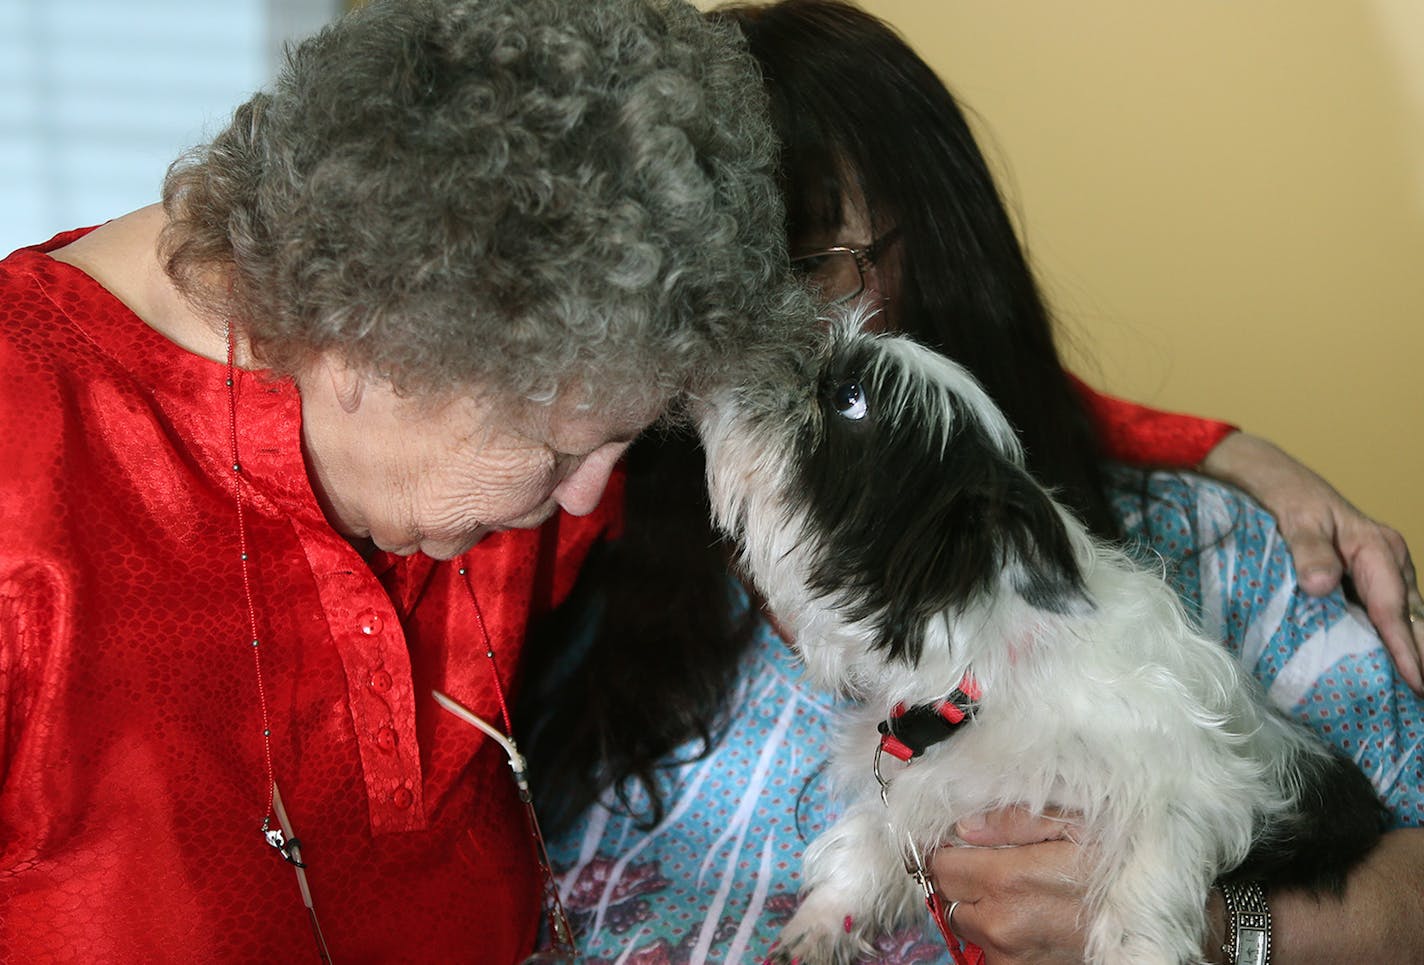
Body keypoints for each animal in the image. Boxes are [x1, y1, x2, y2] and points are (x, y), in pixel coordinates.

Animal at [694, 324, 1384, 965]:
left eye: (850, 398)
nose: (783, 361)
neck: (979, 676)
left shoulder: (1193, 782)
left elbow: (1148, 871)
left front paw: (1134, 951)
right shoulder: (924, 790)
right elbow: (875, 837)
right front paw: (823, 920)